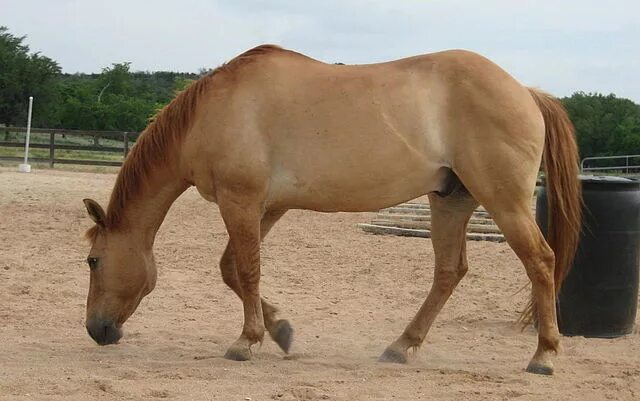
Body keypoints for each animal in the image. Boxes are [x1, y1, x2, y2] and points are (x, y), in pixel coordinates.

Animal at [82, 44, 584, 376]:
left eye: (93, 261)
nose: (96, 330)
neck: (214, 112)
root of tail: (525, 91)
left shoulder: (240, 201)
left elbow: (245, 270)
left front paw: (246, 342)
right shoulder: (267, 207)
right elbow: (232, 269)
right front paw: (281, 331)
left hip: (503, 202)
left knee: (540, 262)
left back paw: (543, 355)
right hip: (451, 201)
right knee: (449, 272)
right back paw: (401, 346)